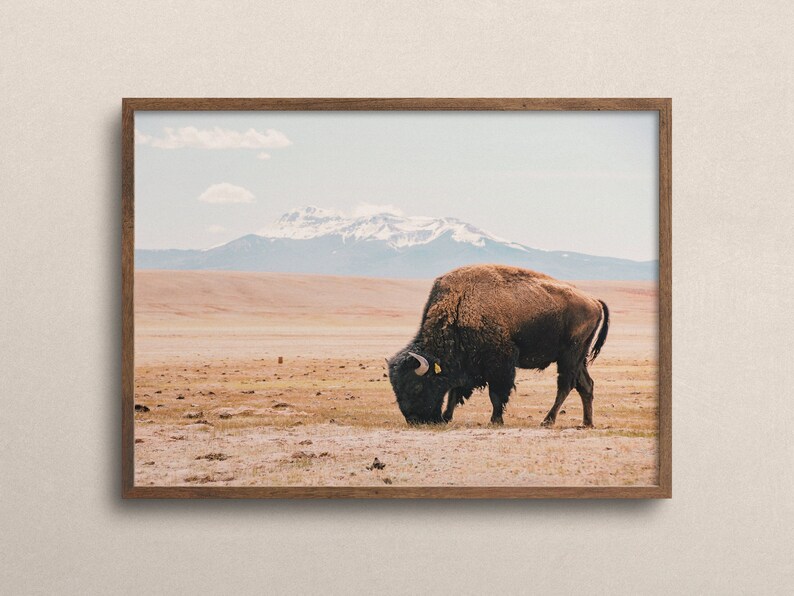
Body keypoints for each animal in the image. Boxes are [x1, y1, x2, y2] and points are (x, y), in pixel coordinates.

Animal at [388, 264, 609, 427]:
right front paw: (446, 417)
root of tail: (594, 301)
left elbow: (496, 394)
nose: (414, 420)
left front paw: (495, 420)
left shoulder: (499, 364)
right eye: (396, 388)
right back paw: (586, 423)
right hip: (579, 359)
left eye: (416, 386)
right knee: (586, 385)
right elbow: (454, 391)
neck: (459, 306)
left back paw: (547, 421)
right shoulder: (466, 365)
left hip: (569, 356)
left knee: (565, 386)